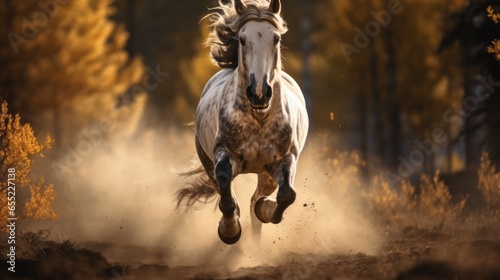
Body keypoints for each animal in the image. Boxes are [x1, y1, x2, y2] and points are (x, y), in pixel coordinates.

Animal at [176, 0, 308, 244]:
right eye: (242, 39)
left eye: (276, 38)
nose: (259, 93)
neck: (259, 119)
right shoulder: (225, 154)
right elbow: (226, 193)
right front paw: (229, 231)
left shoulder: (284, 158)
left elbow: (287, 195)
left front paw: (264, 209)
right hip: (207, 160)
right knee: (226, 191)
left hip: (266, 173)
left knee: (256, 199)